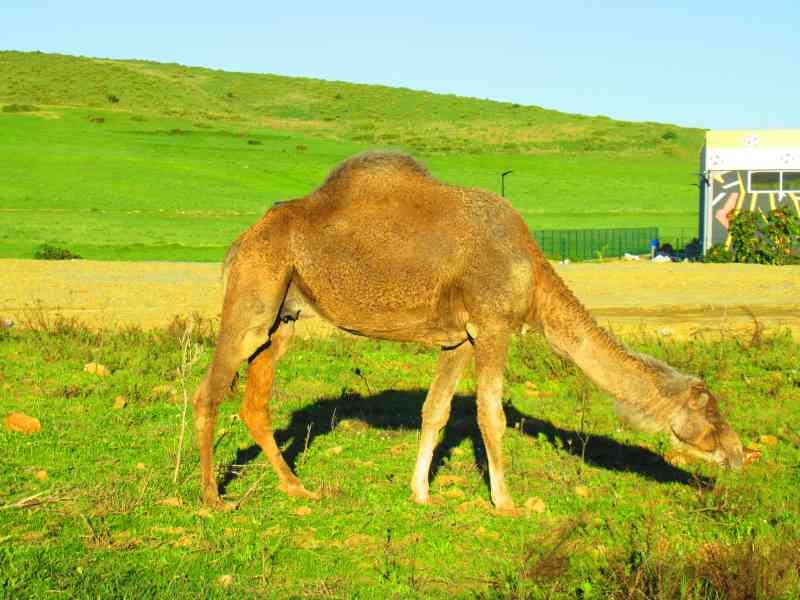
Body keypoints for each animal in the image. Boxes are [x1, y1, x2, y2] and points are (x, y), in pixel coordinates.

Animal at [194, 150, 744, 510]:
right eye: (712, 413)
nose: (740, 453)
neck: (534, 278)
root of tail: (240, 242)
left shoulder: (460, 337)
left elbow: (435, 412)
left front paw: (420, 493)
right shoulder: (494, 325)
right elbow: (489, 415)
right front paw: (507, 502)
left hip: (284, 315)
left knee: (256, 402)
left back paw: (298, 489)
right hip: (254, 292)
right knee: (210, 392)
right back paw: (213, 499)